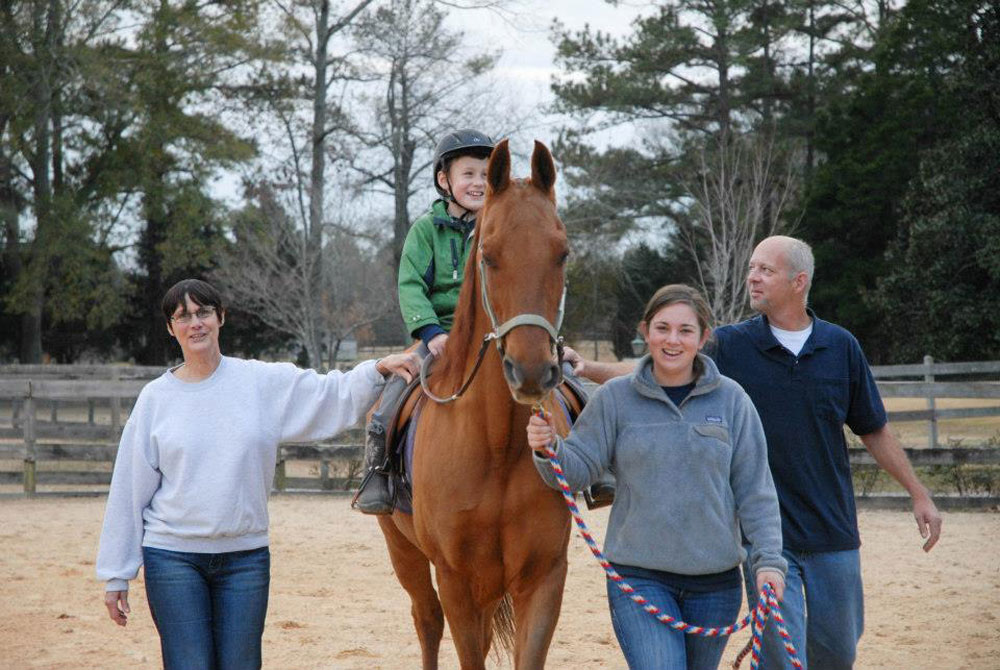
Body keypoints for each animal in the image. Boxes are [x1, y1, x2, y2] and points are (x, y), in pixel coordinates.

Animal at [376, 139, 572, 668]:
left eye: (562, 253)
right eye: (488, 255)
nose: (531, 372)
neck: (497, 445)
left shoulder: (543, 579)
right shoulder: (457, 580)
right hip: (405, 554)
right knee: (426, 620)